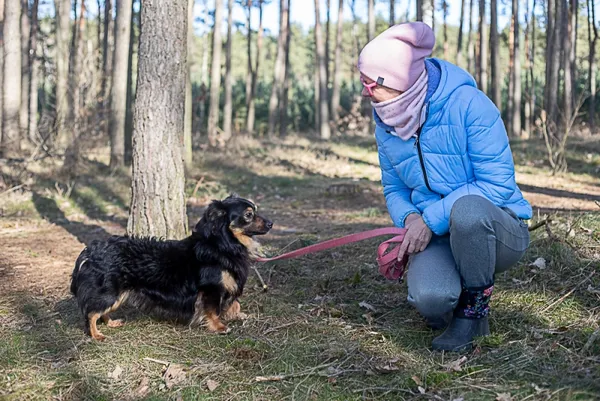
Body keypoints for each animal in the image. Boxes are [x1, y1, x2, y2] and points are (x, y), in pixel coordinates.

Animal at [69, 194, 272, 340]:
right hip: (110, 292)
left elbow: (234, 304)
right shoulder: (212, 289)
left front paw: (238, 315)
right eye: (248, 215)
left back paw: (110, 323)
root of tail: (92, 250)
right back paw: (96, 335)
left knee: (99, 311)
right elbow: (213, 310)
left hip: (117, 295)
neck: (223, 244)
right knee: (91, 313)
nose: (271, 223)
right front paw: (219, 327)